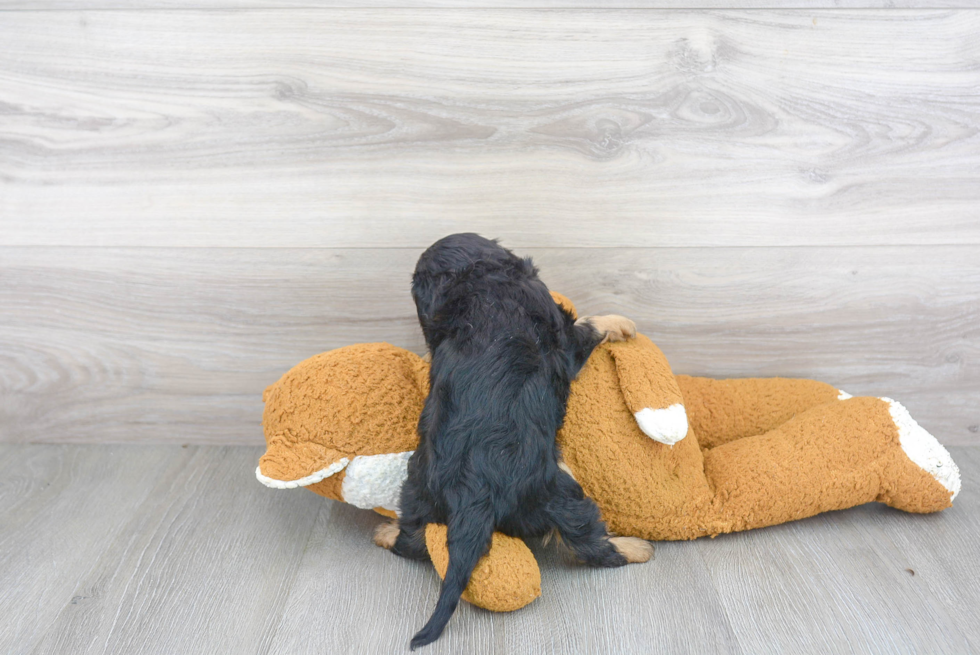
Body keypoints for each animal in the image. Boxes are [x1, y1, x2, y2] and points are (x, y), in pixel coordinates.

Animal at [376, 233, 652, 648]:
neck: (478, 285)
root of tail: (469, 494)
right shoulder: (562, 337)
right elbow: (587, 324)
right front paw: (621, 323)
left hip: (417, 486)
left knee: (412, 541)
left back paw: (387, 532)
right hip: (559, 493)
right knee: (591, 543)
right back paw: (635, 548)